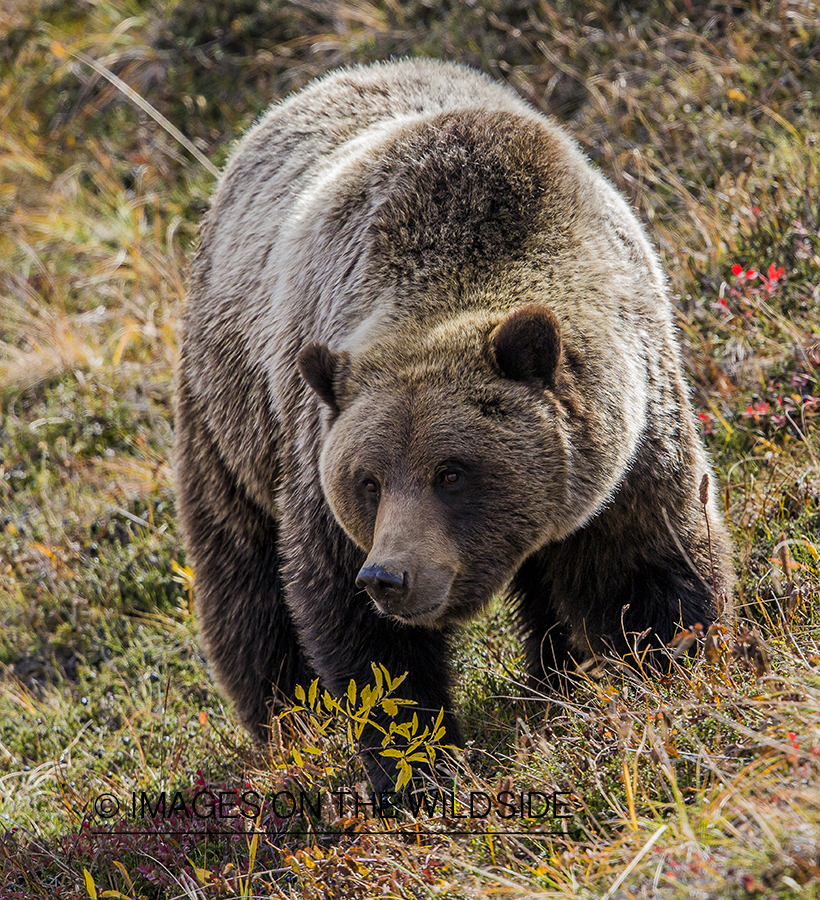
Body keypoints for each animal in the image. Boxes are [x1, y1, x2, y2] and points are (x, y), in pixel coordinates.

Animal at [175, 58, 734, 789]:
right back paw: (289, 727)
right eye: (368, 481)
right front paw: (421, 767)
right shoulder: (317, 454)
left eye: (452, 472)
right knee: (244, 579)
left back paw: (555, 680)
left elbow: (648, 564)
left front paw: (672, 675)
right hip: (231, 412)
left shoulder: (632, 443)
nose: (390, 576)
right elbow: (360, 636)